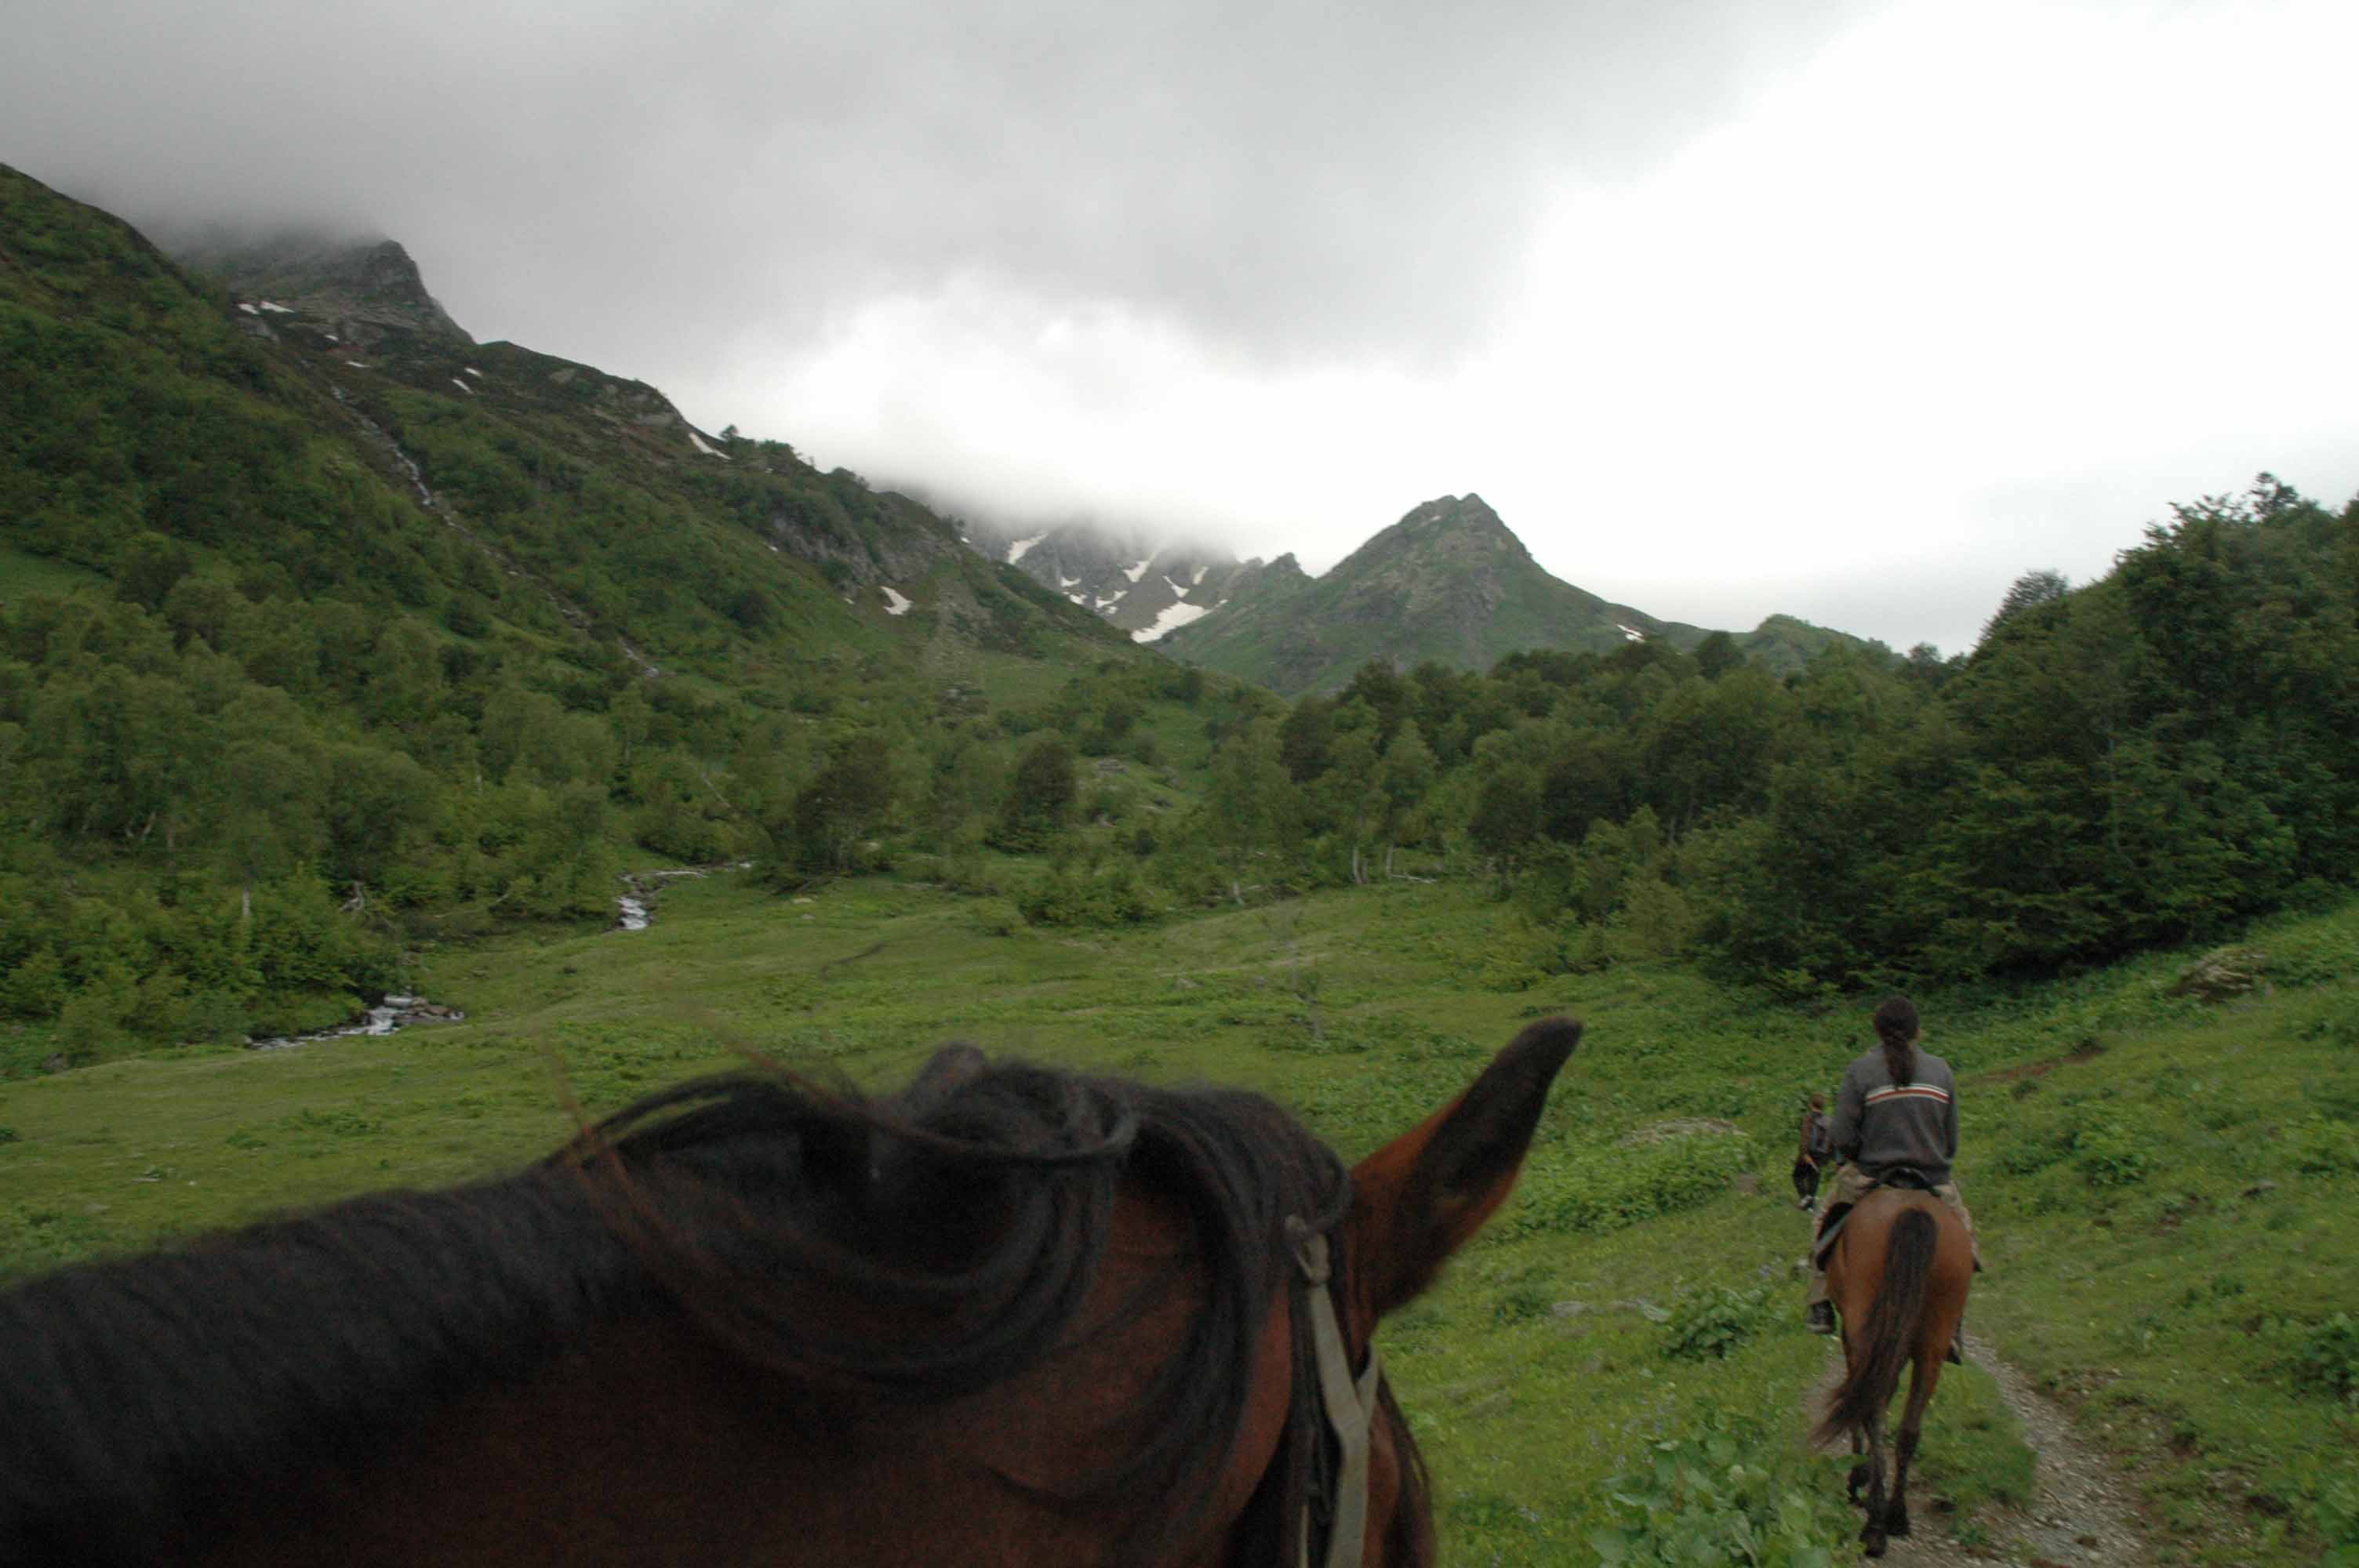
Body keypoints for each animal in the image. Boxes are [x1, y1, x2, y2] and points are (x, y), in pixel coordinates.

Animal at [1811, 1180, 1975, 1557]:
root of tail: (1912, 1210)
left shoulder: (1853, 1337)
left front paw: (1858, 1475)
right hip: (1932, 1342)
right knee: (1908, 1429)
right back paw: (1896, 1515)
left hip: (1865, 1328)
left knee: (1872, 1410)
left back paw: (1874, 1525)